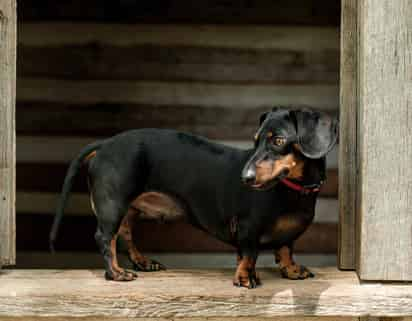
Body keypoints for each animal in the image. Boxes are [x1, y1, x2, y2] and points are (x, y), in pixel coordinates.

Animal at [50, 107, 338, 288]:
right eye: (255, 141)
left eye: (278, 140)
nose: (244, 177)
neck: (291, 190)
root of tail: (105, 144)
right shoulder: (247, 228)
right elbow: (249, 254)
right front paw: (246, 277)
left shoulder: (286, 237)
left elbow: (286, 248)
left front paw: (291, 269)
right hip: (113, 203)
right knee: (104, 238)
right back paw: (116, 273)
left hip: (127, 209)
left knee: (125, 236)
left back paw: (143, 262)